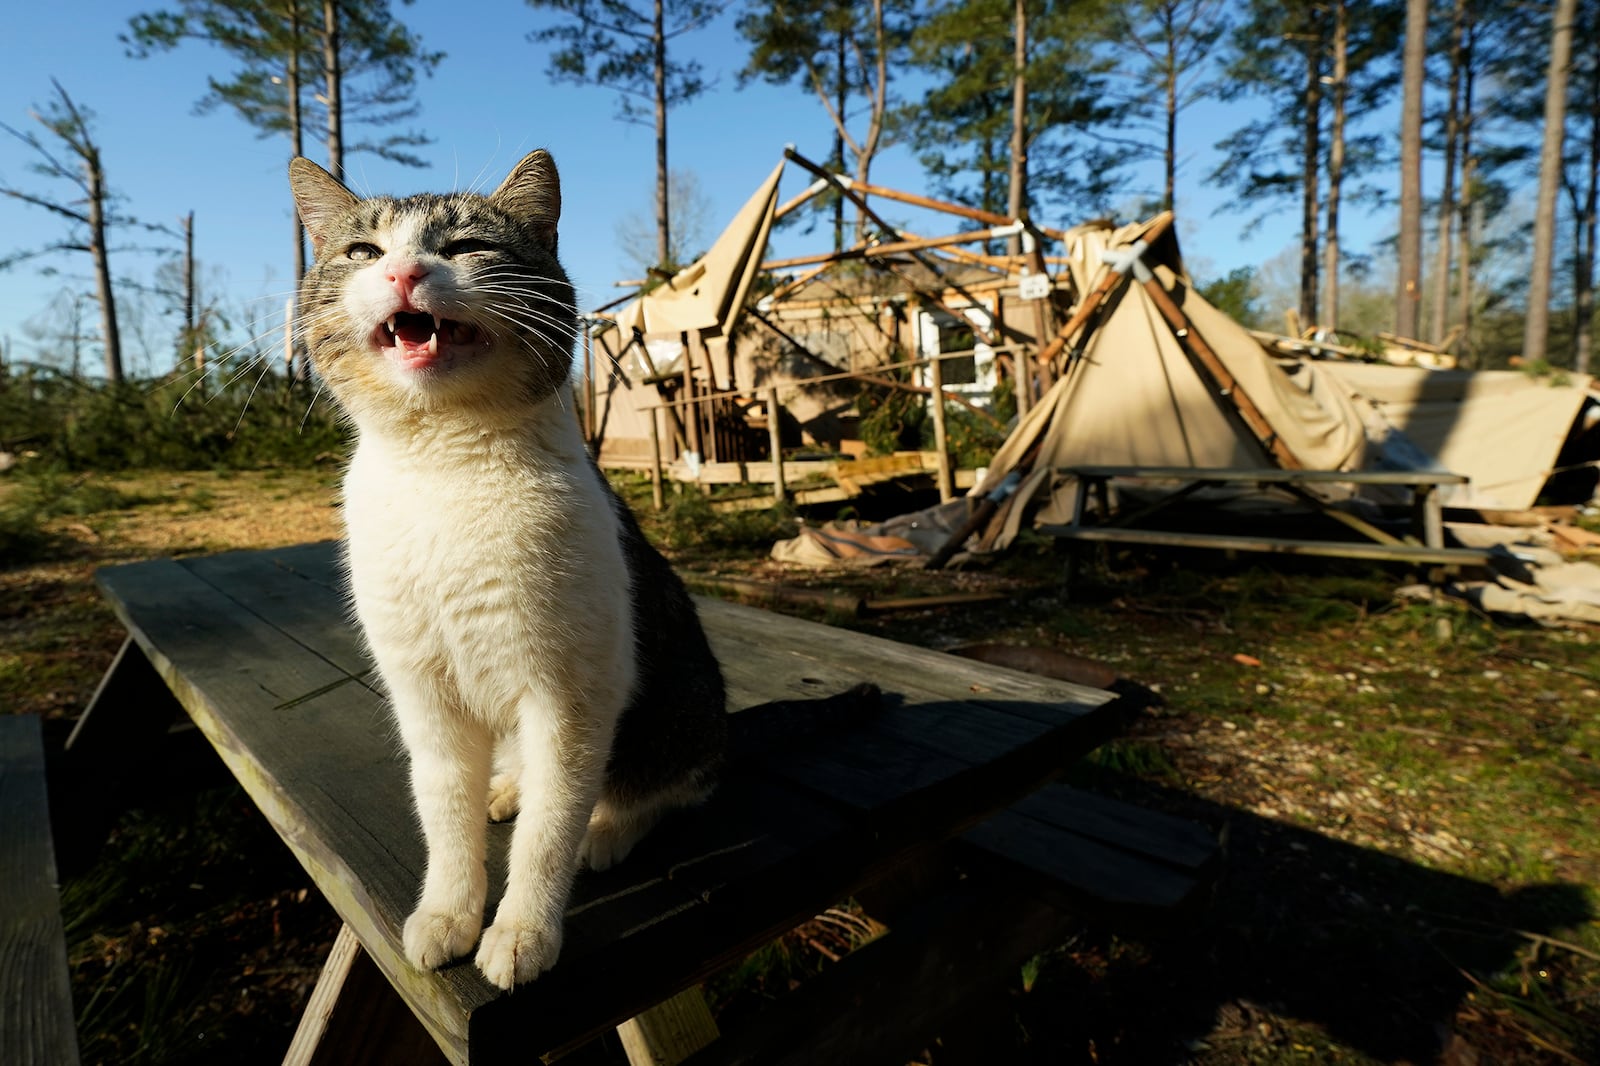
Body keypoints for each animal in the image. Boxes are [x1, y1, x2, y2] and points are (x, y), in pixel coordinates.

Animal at [289, 149, 732, 985]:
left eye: (468, 247)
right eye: (363, 251)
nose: (404, 271)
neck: (444, 469)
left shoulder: (570, 699)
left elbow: (551, 831)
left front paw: (524, 930)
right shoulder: (423, 693)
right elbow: (443, 813)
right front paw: (449, 911)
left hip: (681, 702)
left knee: (670, 786)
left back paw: (607, 830)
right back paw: (506, 788)